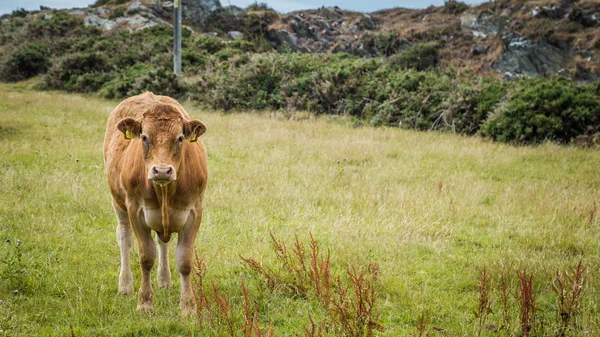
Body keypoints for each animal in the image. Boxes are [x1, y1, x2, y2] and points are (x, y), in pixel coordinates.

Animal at [102, 90, 207, 314]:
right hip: (118, 203)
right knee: (124, 237)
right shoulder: (135, 210)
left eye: (180, 138)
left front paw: (188, 306)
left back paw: (165, 280)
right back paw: (125, 284)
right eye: (144, 137)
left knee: (162, 243)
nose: (162, 171)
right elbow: (146, 258)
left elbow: (184, 261)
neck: (165, 191)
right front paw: (144, 303)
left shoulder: (194, 212)